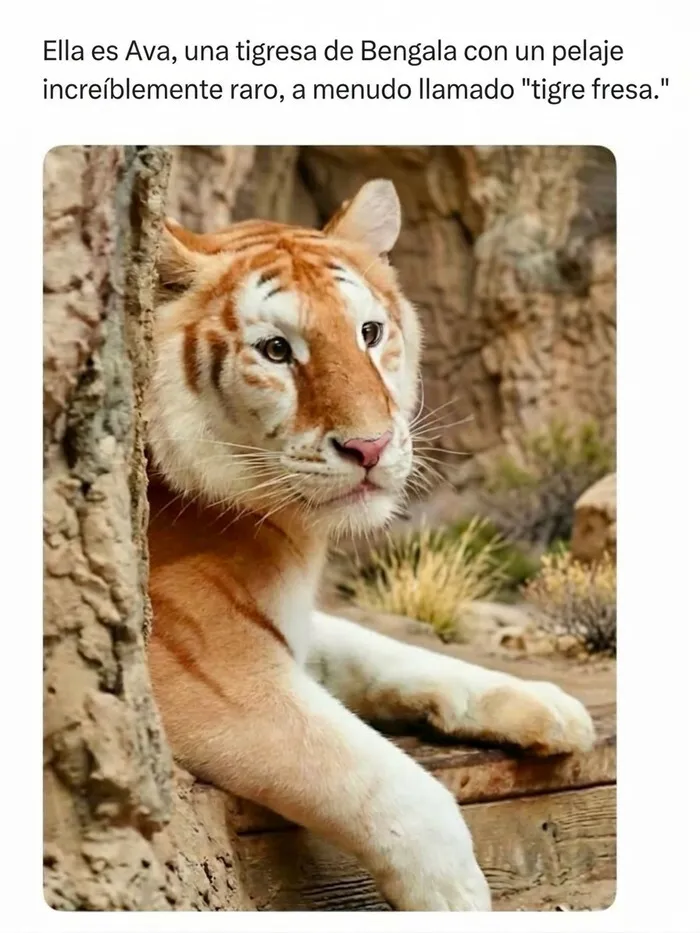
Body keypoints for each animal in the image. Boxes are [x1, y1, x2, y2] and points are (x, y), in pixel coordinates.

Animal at [145, 178, 595, 911]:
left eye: (369, 332)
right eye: (276, 350)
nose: (371, 446)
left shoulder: (291, 622)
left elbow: (389, 651)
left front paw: (549, 704)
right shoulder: (204, 669)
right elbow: (384, 778)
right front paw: (457, 894)